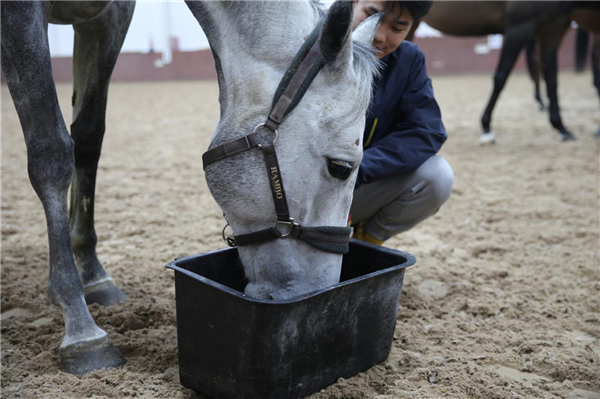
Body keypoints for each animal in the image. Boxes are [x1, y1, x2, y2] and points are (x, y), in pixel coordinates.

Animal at [1, 0, 380, 376]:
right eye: (341, 168)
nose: (322, 291)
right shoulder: (20, 15)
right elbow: (51, 153)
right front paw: (81, 327)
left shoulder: (110, 17)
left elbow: (88, 140)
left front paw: (93, 274)